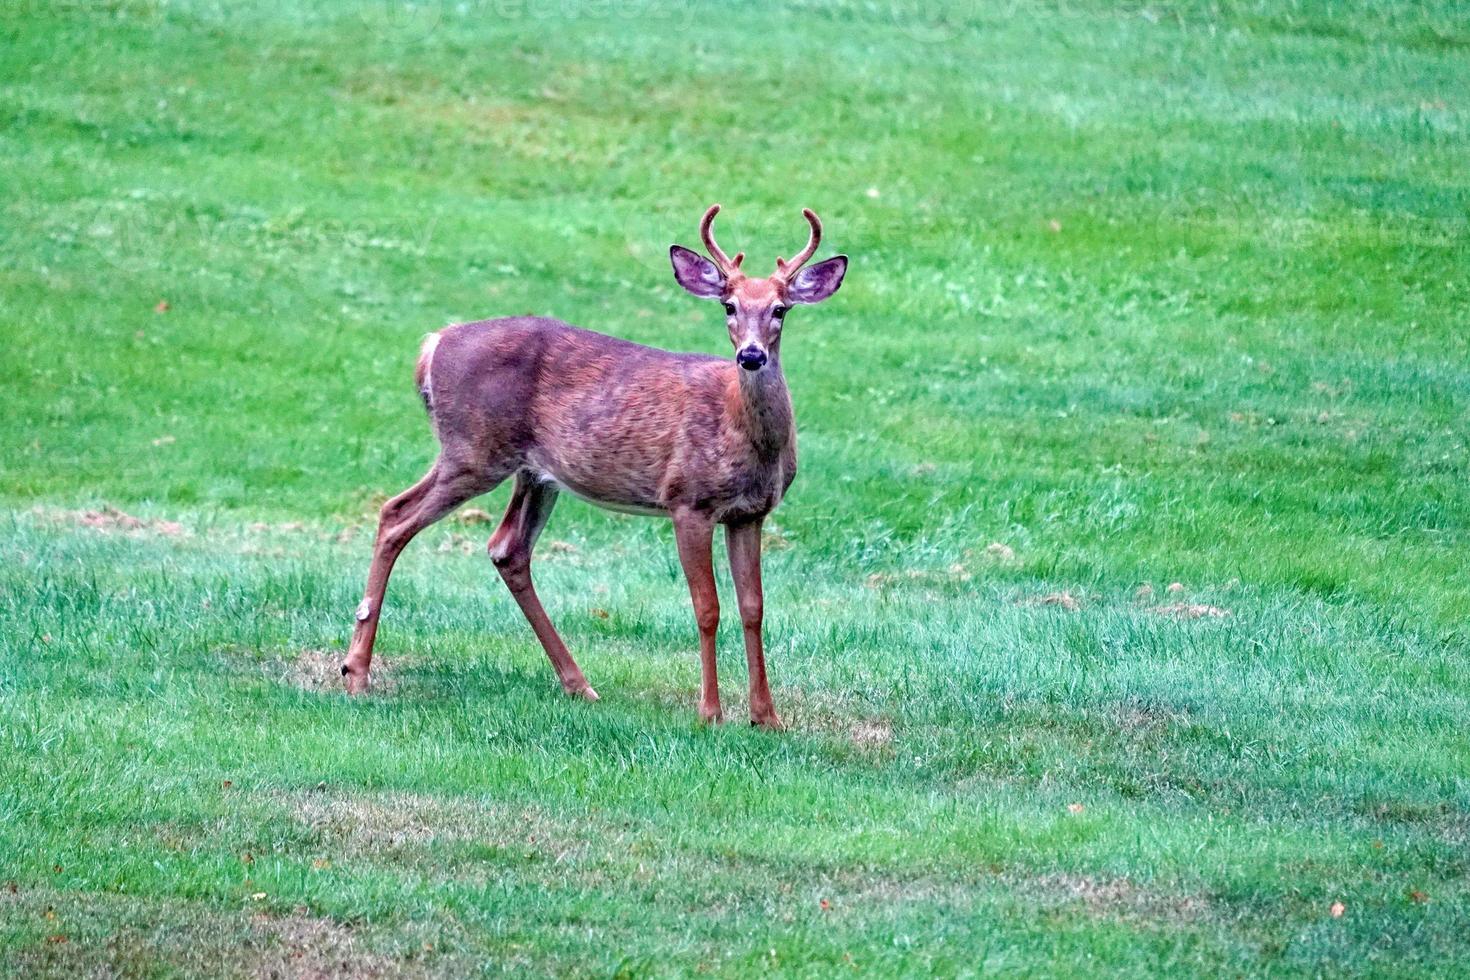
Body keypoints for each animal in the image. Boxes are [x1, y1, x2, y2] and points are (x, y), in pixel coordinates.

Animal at [341, 207, 852, 728]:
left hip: (532, 472)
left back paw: (579, 685)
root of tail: (434, 343)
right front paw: (710, 712)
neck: (743, 432)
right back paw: (356, 671)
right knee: (396, 514)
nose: (750, 356)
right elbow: (707, 607)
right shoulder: (687, 499)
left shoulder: (749, 513)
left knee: (506, 548)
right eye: (728, 306)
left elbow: (754, 607)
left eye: (780, 309)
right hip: (473, 449)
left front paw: (766, 717)